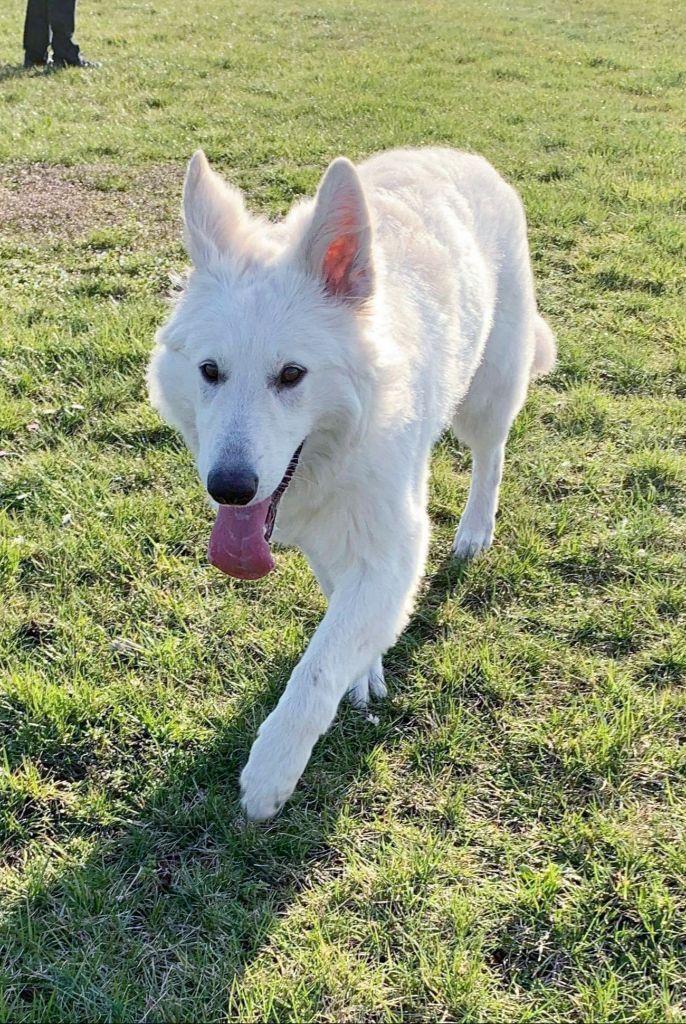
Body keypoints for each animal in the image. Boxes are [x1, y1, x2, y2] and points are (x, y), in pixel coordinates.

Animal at [147, 144, 556, 819]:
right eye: (209, 371)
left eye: (292, 375)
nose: (229, 489)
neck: (332, 458)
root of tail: (456, 152)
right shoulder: (332, 544)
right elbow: (343, 618)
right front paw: (365, 668)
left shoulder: (394, 547)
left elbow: (317, 666)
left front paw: (271, 773)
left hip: (487, 392)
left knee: (491, 454)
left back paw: (475, 530)